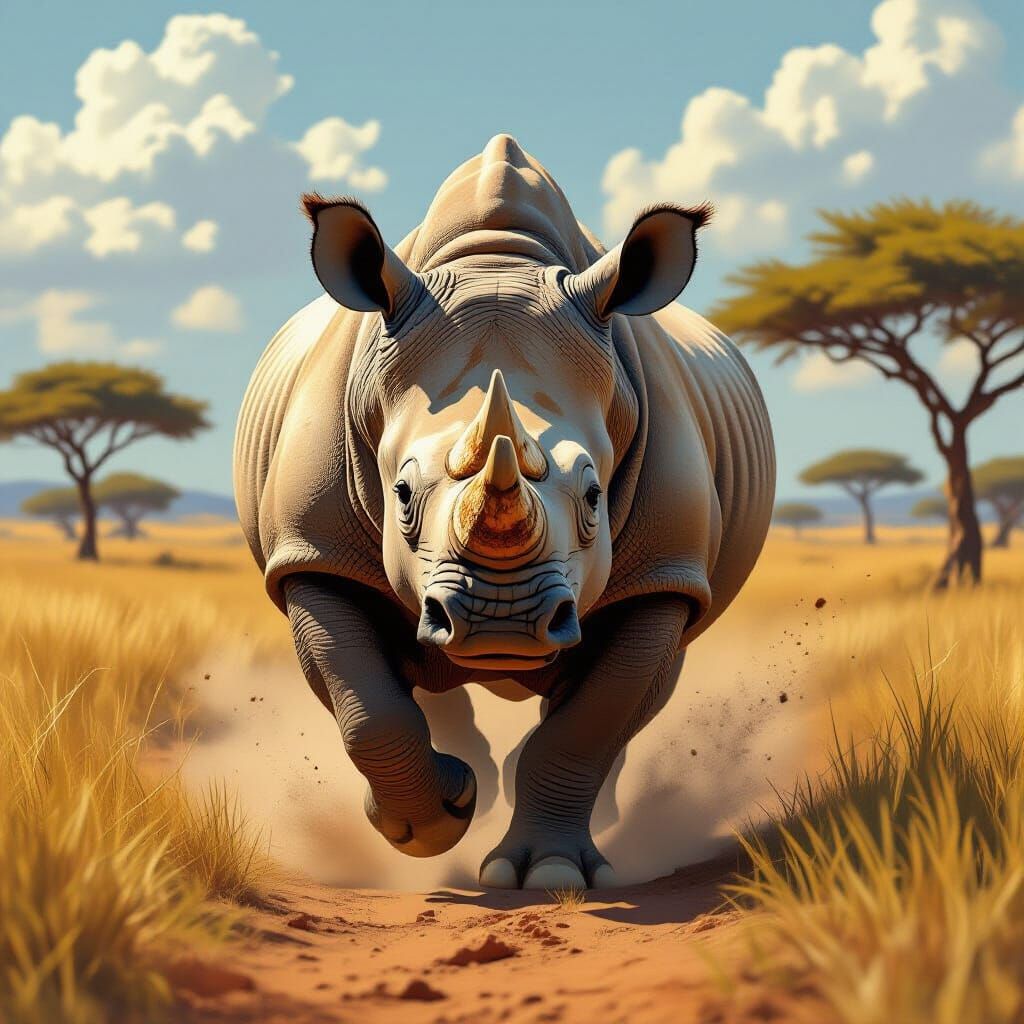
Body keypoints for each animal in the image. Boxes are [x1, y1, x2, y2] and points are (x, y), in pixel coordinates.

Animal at [234, 134, 774, 890]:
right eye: (402, 495)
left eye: (594, 496)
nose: (503, 622)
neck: (496, 261)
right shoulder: (312, 552)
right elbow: (366, 704)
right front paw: (432, 823)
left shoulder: (664, 574)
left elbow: (592, 724)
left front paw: (549, 874)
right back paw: (471, 782)